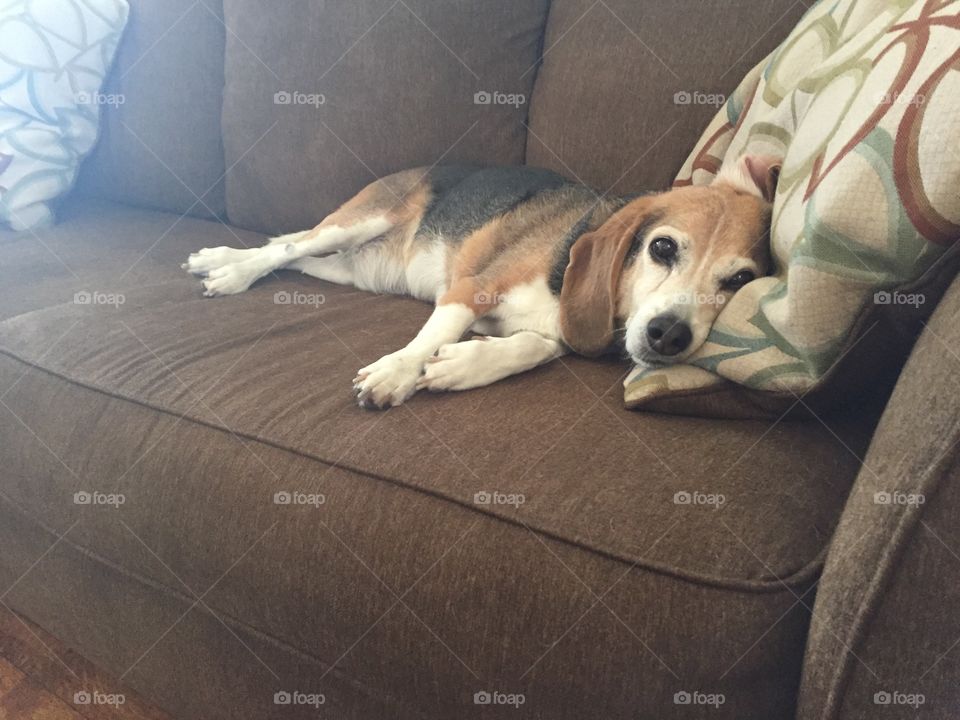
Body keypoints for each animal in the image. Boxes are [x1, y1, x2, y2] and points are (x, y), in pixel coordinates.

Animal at [182, 154, 780, 408]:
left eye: (739, 279)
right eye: (662, 248)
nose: (669, 335)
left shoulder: (550, 331)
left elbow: (531, 347)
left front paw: (460, 368)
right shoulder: (469, 290)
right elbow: (432, 334)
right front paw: (398, 372)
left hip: (349, 269)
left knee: (287, 253)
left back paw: (225, 260)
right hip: (359, 222)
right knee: (285, 246)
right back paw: (228, 269)